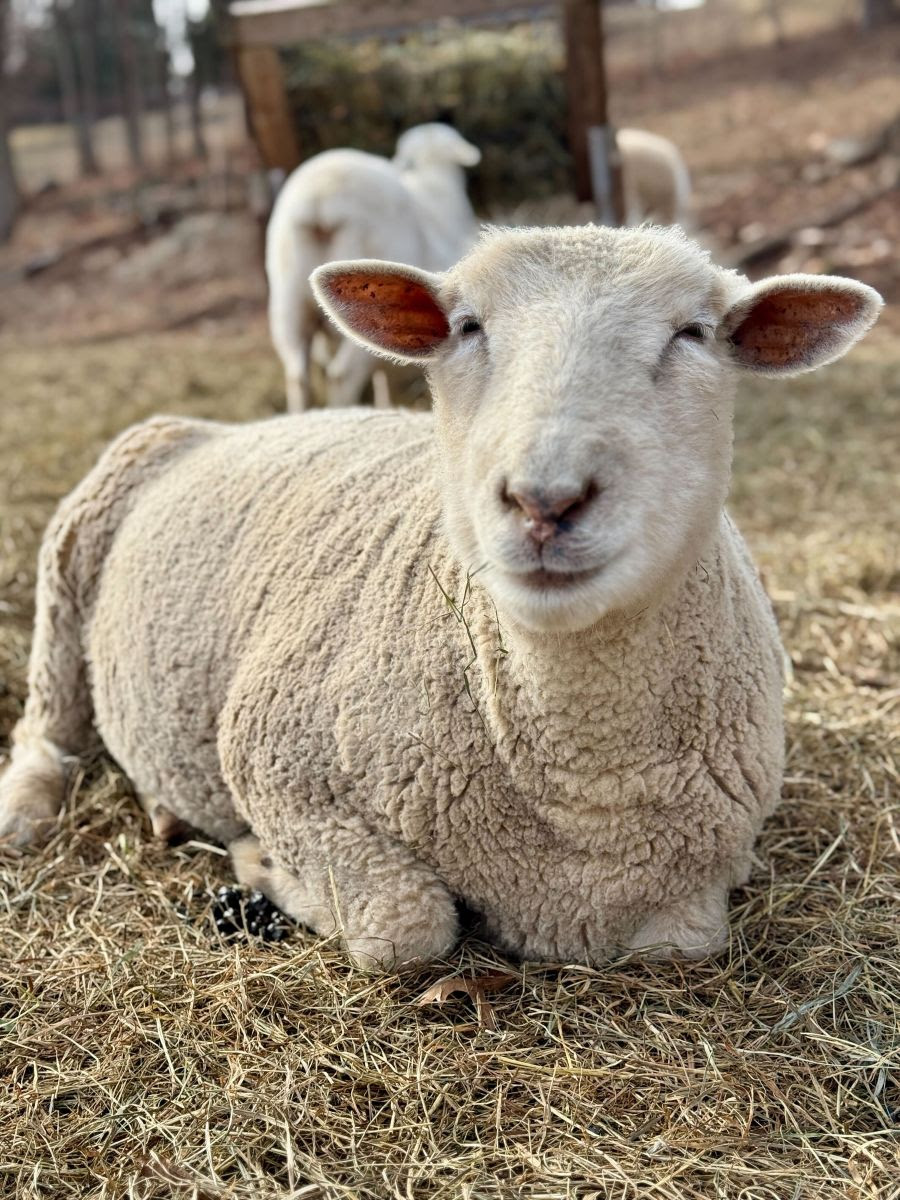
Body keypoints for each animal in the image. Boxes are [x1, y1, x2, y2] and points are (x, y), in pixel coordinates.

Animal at [0, 226, 883, 974]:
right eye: (467, 327)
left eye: (693, 334)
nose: (544, 500)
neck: (579, 799)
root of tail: (215, 426)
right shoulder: (272, 758)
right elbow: (407, 926)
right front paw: (260, 867)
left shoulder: (699, 888)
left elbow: (686, 940)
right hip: (69, 567)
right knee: (46, 723)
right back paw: (23, 812)